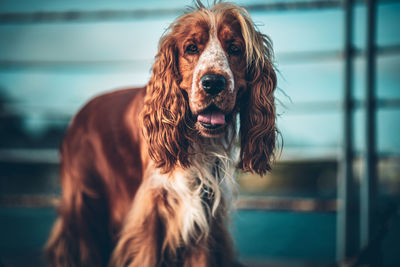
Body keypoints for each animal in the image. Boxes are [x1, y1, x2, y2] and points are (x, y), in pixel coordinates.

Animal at [43, 1, 276, 266]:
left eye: (235, 48)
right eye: (191, 48)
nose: (213, 83)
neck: (197, 143)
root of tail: (79, 115)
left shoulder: (204, 215)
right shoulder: (152, 213)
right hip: (82, 205)